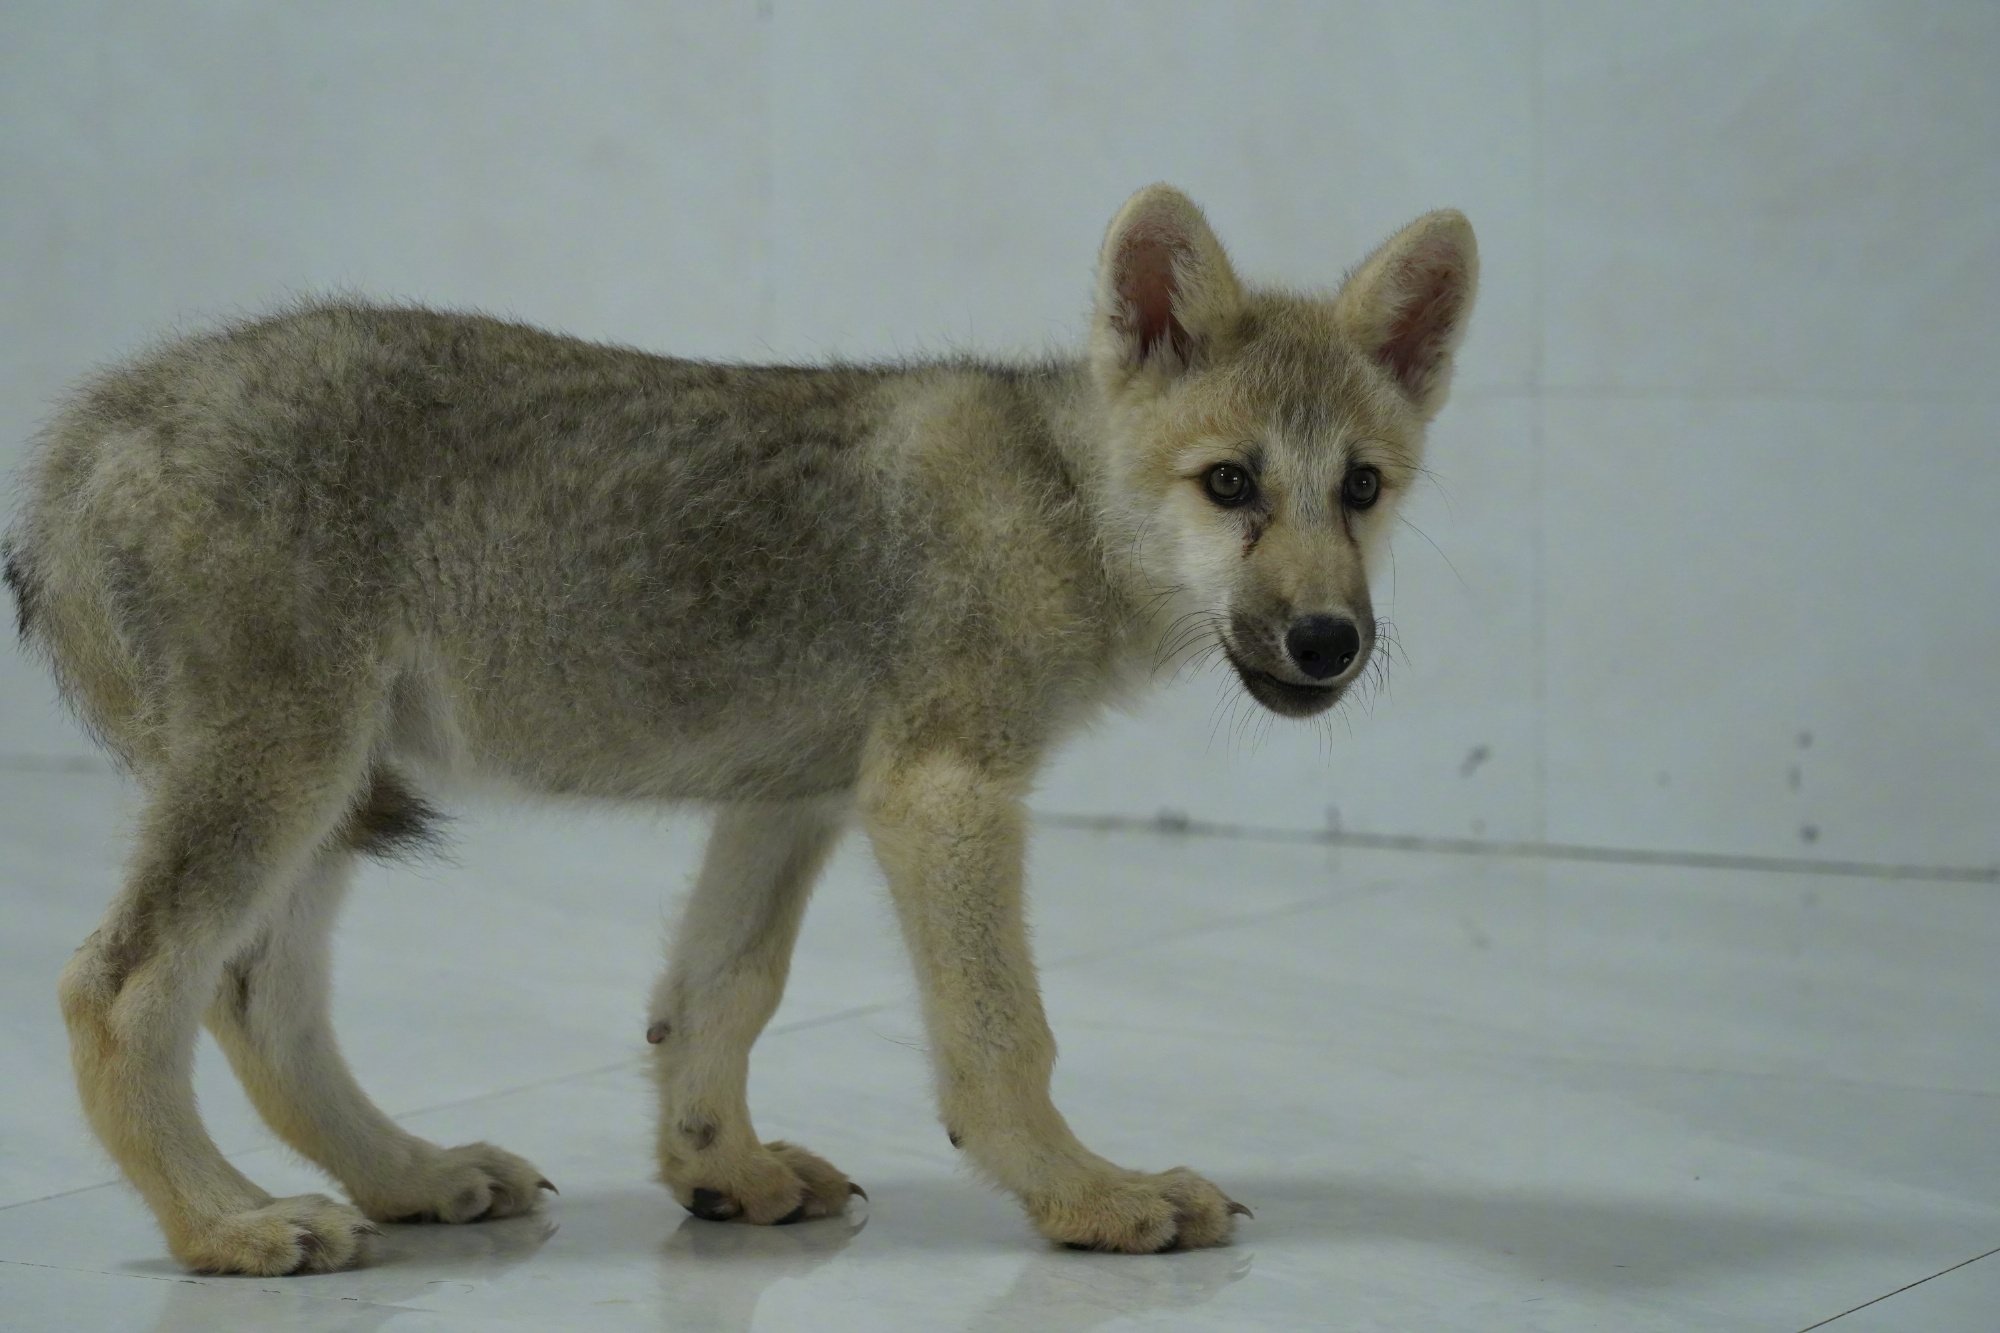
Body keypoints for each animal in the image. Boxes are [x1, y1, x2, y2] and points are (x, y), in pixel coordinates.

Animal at [0, 184, 1472, 1264]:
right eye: (1230, 484)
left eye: (1361, 489)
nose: (1330, 643)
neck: (1060, 501)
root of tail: (93, 423)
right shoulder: (942, 794)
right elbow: (1004, 1038)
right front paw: (1087, 1194)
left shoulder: (792, 797)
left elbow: (716, 997)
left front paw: (721, 1172)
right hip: (282, 778)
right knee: (120, 986)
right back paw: (227, 1223)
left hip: (323, 792)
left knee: (255, 999)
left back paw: (408, 1176)